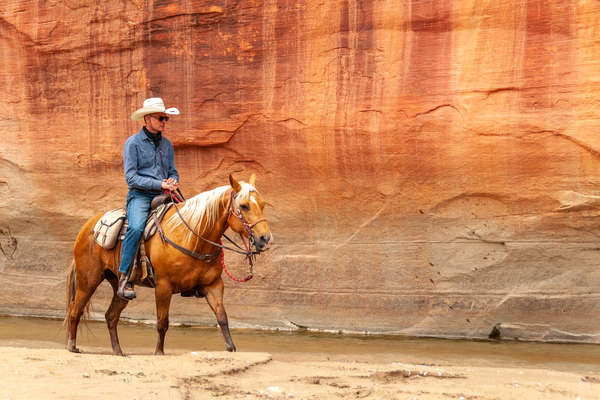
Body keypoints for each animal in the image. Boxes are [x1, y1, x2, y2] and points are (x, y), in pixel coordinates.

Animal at [65, 173, 272, 354]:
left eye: (262, 205)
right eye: (244, 206)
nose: (265, 238)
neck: (193, 237)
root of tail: (88, 227)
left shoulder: (213, 285)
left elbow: (222, 317)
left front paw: (231, 348)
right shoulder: (163, 286)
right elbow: (162, 323)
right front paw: (159, 352)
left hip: (118, 286)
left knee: (111, 316)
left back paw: (118, 352)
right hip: (88, 280)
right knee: (75, 310)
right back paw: (72, 346)